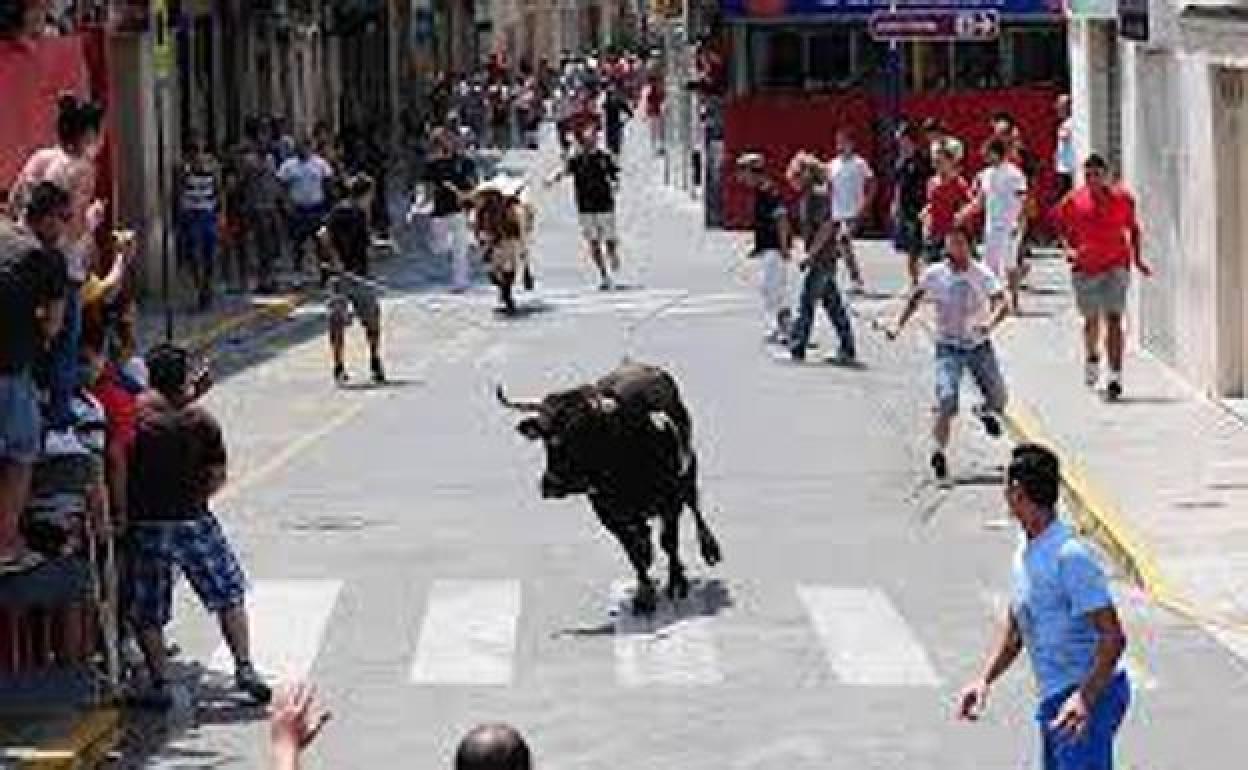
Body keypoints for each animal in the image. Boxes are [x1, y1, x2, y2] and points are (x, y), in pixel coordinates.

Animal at [499, 364, 723, 616]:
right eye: (545, 434)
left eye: (583, 428)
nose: (554, 484)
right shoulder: (608, 515)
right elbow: (633, 552)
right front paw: (644, 595)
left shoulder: (670, 502)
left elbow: (668, 542)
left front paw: (677, 583)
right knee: (645, 535)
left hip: (690, 467)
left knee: (694, 505)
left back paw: (710, 549)